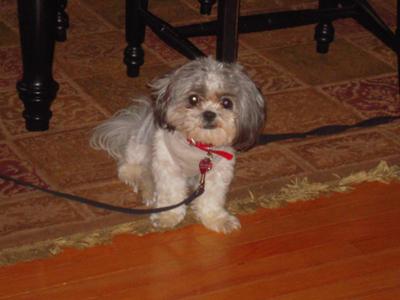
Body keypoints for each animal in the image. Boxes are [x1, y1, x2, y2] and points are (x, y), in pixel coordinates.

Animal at [90, 56, 266, 234]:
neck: (198, 146)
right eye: (193, 99)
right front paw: (167, 217)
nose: (209, 113)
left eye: (226, 102)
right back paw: (149, 191)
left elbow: (212, 197)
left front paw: (216, 218)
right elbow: (171, 194)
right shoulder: (168, 165)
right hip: (140, 147)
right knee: (132, 170)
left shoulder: (218, 170)